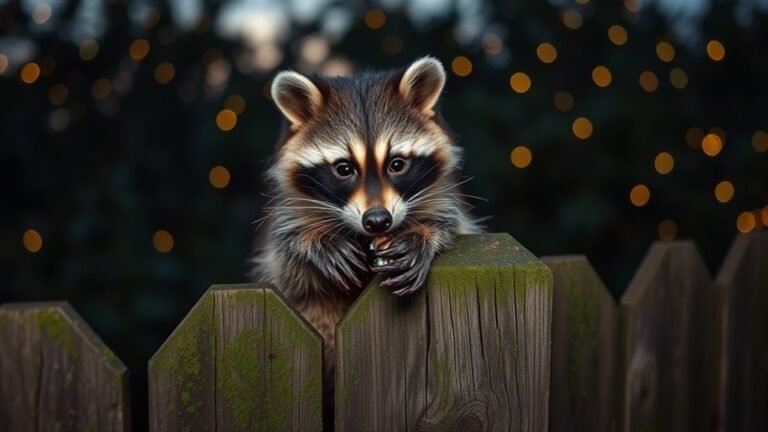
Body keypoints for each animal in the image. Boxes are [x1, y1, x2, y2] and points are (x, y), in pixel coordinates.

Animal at [250, 57, 482, 417]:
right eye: (344, 168)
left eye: (397, 164)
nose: (377, 221)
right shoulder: (285, 217)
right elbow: (286, 264)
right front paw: (317, 242)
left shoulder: (444, 198)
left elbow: (452, 223)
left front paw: (423, 235)